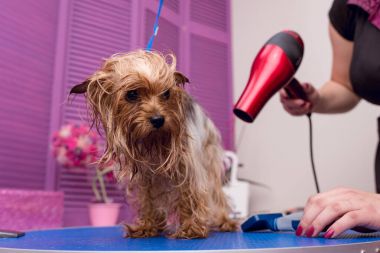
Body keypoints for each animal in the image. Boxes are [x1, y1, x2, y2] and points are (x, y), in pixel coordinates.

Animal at [70, 50, 238, 239]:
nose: (158, 119)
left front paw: (191, 227)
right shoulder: (146, 176)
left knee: (216, 194)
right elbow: (148, 200)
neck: (153, 140)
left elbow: (189, 195)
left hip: (209, 159)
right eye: (132, 94)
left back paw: (225, 221)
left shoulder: (188, 167)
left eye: (166, 94)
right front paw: (147, 226)